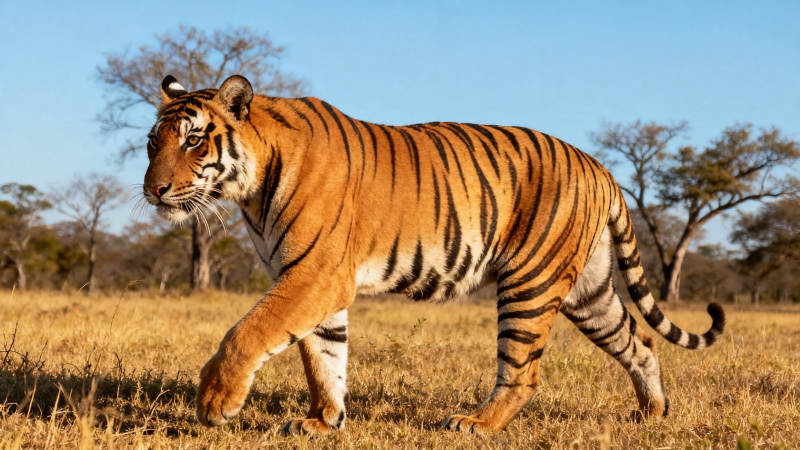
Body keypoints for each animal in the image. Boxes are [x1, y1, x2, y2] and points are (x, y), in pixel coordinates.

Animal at [143, 74, 725, 434]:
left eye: (194, 140)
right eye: (153, 143)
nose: (153, 190)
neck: (251, 188)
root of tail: (599, 165)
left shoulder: (315, 276)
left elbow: (250, 331)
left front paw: (215, 401)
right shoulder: (311, 282)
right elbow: (324, 357)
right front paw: (323, 421)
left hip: (531, 282)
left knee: (523, 371)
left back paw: (477, 424)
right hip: (590, 291)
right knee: (640, 341)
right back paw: (651, 414)